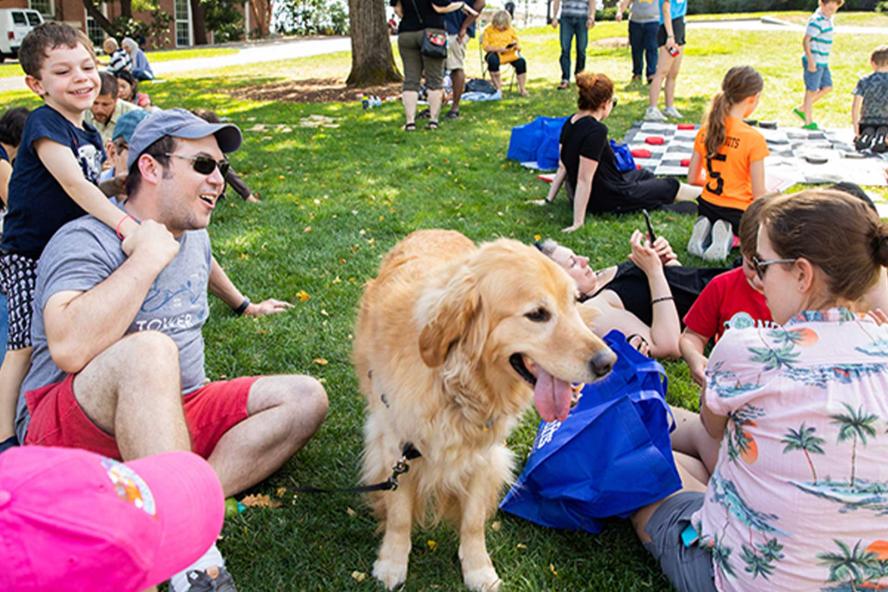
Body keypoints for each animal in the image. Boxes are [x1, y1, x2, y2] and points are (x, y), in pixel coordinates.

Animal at [350, 229, 612, 588]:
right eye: (537, 314)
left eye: (574, 302)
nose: (608, 362)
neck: (455, 383)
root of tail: (434, 229)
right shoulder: (393, 444)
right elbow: (400, 515)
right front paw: (392, 562)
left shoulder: (484, 453)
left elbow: (473, 521)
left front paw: (478, 568)